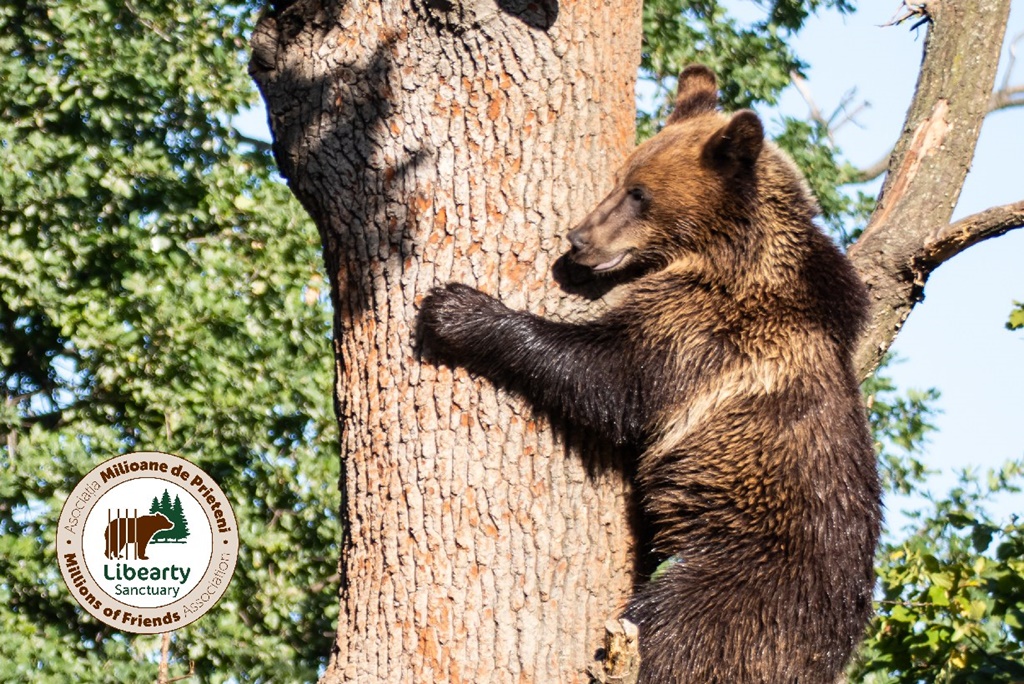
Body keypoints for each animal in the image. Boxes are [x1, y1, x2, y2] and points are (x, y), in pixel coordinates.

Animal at [415, 65, 880, 684]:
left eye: (640, 194)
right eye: (620, 179)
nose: (578, 239)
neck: (726, 257)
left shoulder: (703, 335)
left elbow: (608, 377)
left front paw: (456, 309)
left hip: (741, 581)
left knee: (675, 631)